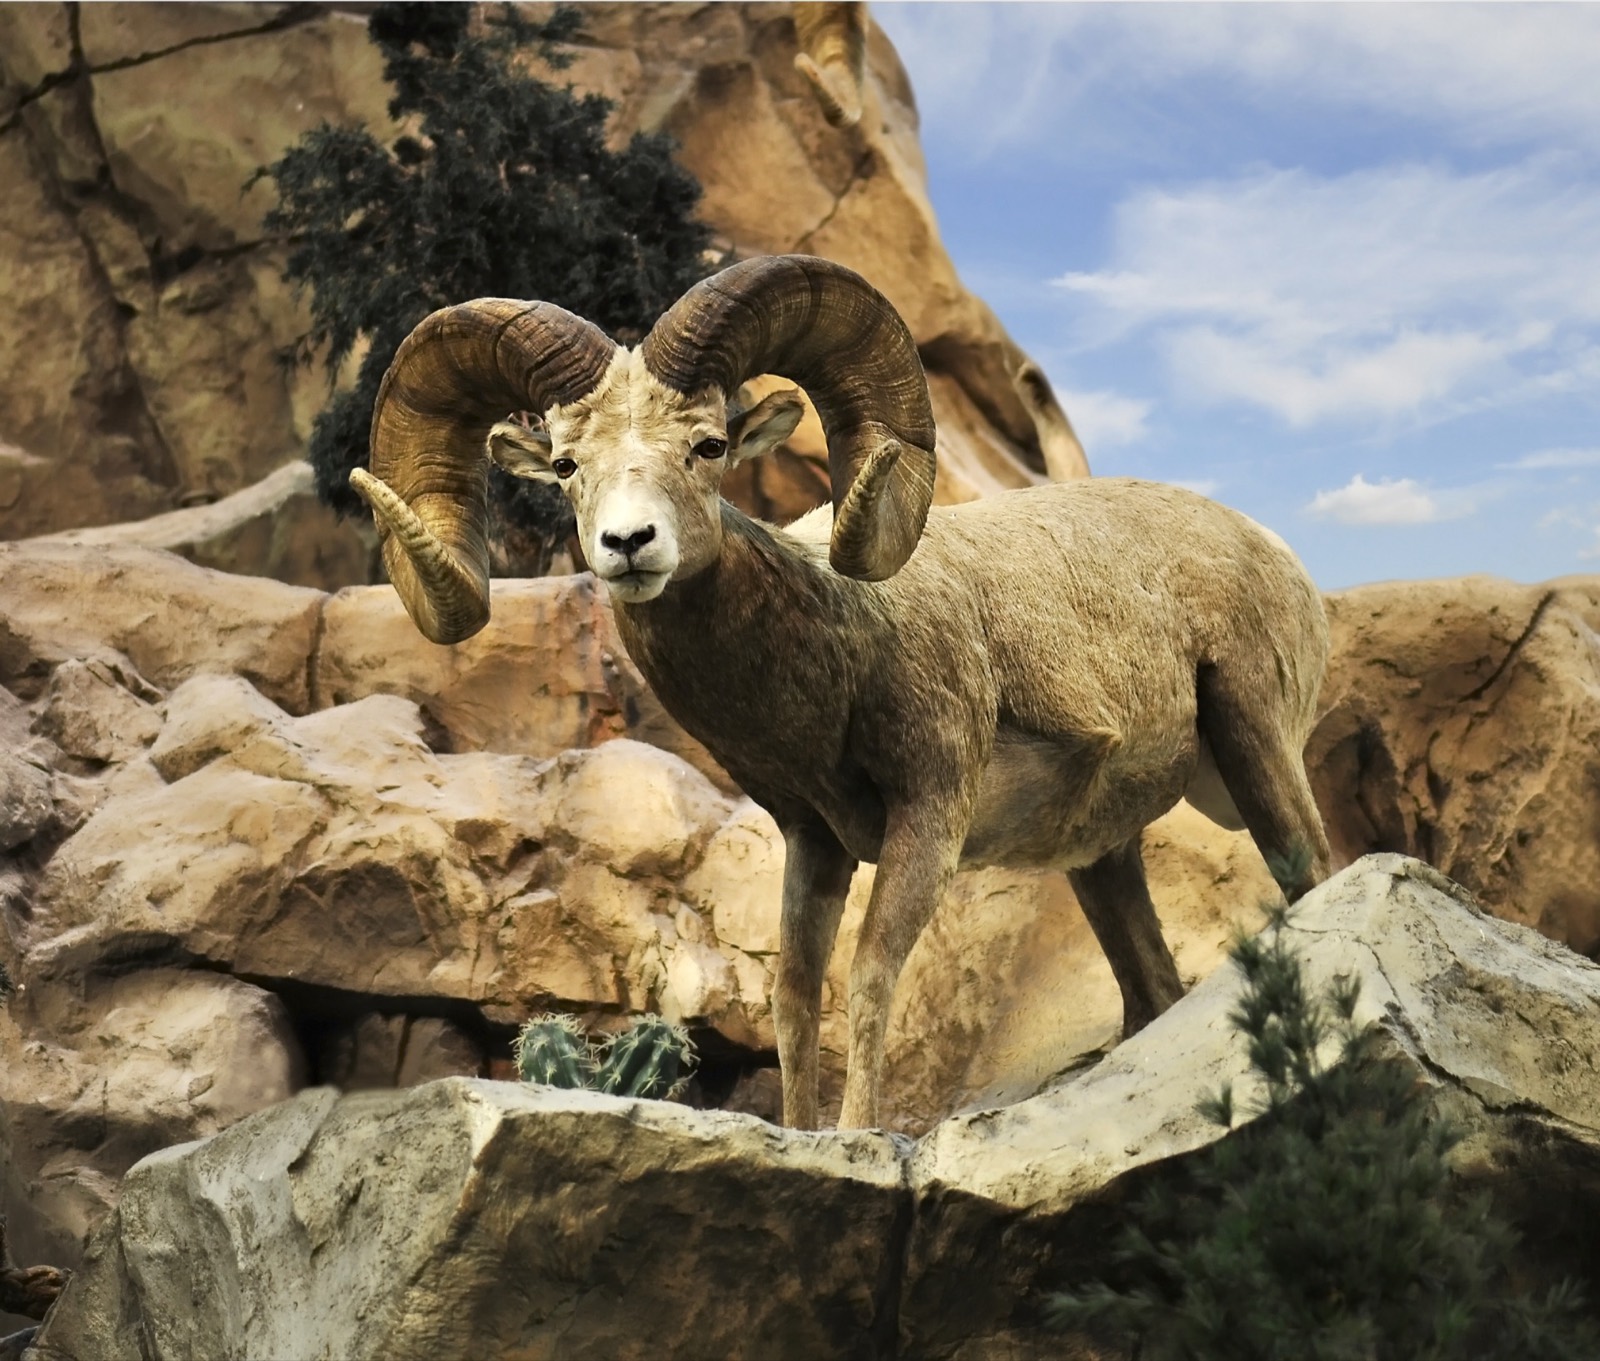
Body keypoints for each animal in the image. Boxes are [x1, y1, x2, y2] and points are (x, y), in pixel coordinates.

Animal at [350, 254, 1333, 1130]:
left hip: (1254, 745)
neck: (838, 643)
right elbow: (792, 999)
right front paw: (799, 1133)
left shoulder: (928, 817)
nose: (629, 544)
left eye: (707, 446)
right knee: (1154, 986)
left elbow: (868, 975)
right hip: (1102, 856)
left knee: (1314, 874)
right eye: (565, 465)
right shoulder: (813, 842)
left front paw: (861, 1134)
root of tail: (1273, 551)